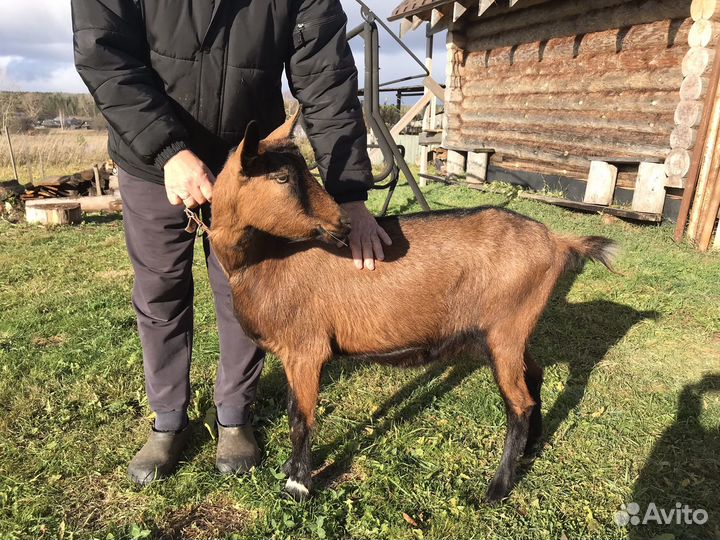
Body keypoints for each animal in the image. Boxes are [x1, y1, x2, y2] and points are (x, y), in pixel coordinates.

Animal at [209, 111, 618, 503]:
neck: (265, 260)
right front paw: (294, 473)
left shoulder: (305, 350)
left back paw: (497, 488)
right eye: (281, 177)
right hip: (514, 332)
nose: (342, 225)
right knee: (534, 378)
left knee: (519, 404)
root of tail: (557, 241)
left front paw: (297, 485)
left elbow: (300, 417)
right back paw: (530, 449)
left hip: (505, 331)